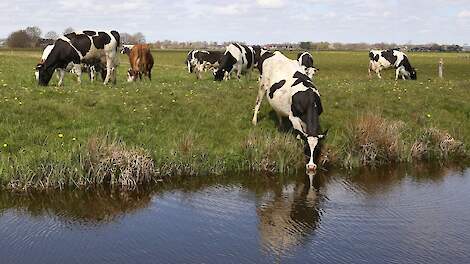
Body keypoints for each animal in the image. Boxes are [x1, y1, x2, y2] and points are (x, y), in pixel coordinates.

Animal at [253, 51, 326, 187]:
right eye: (306, 149)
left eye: (317, 149)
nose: (311, 167)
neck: (309, 99)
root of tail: (273, 53)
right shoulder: (294, 118)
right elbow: (300, 134)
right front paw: (298, 140)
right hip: (262, 85)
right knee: (258, 102)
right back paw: (254, 121)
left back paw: (281, 125)